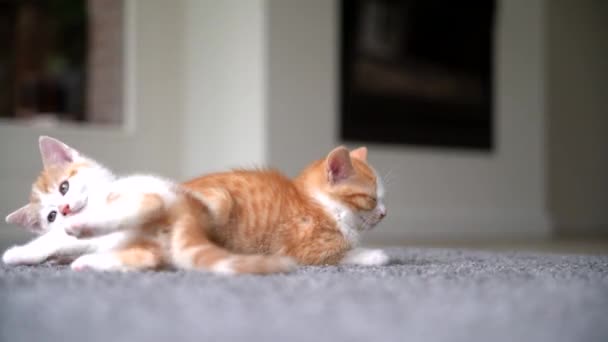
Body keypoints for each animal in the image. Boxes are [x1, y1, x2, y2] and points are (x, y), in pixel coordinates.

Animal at [3, 136, 390, 272]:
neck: (322, 204)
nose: (385, 213)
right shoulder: (306, 246)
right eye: (372, 199)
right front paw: (375, 254)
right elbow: (340, 253)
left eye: (65, 187)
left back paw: (88, 260)